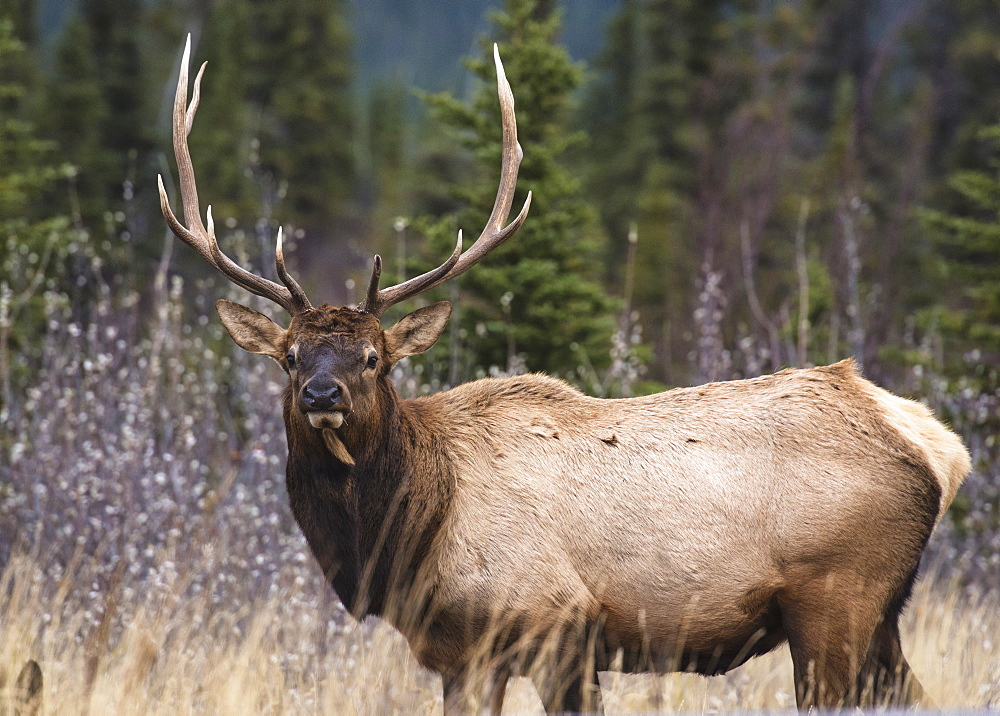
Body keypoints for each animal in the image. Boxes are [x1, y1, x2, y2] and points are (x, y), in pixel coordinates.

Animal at [158, 37, 968, 712]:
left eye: (373, 358)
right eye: (290, 356)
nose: (322, 394)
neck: (412, 536)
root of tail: (939, 446)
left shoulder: (562, 630)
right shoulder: (462, 657)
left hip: (837, 598)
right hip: (880, 616)